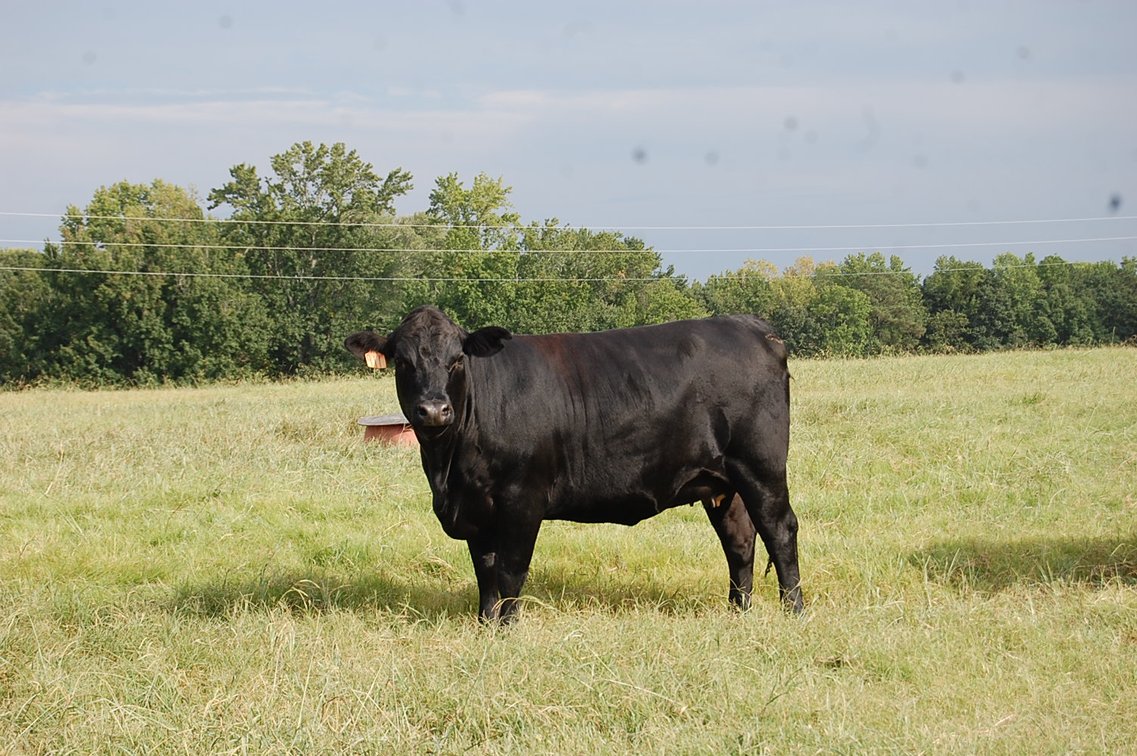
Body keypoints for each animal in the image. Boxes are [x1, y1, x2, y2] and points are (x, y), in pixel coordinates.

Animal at [345, 306, 802, 622]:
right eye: (403, 362)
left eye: (457, 359)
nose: (434, 410)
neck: (449, 470)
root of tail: (753, 327)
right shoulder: (477, 510)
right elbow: (485, 573)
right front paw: (484, 626)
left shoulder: (522, 501)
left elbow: (510, 572)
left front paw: (506, 629)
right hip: (724, 482)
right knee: (739, 540)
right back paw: (738, 611)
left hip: (761, 467)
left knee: (779, 530)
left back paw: (792, 611)